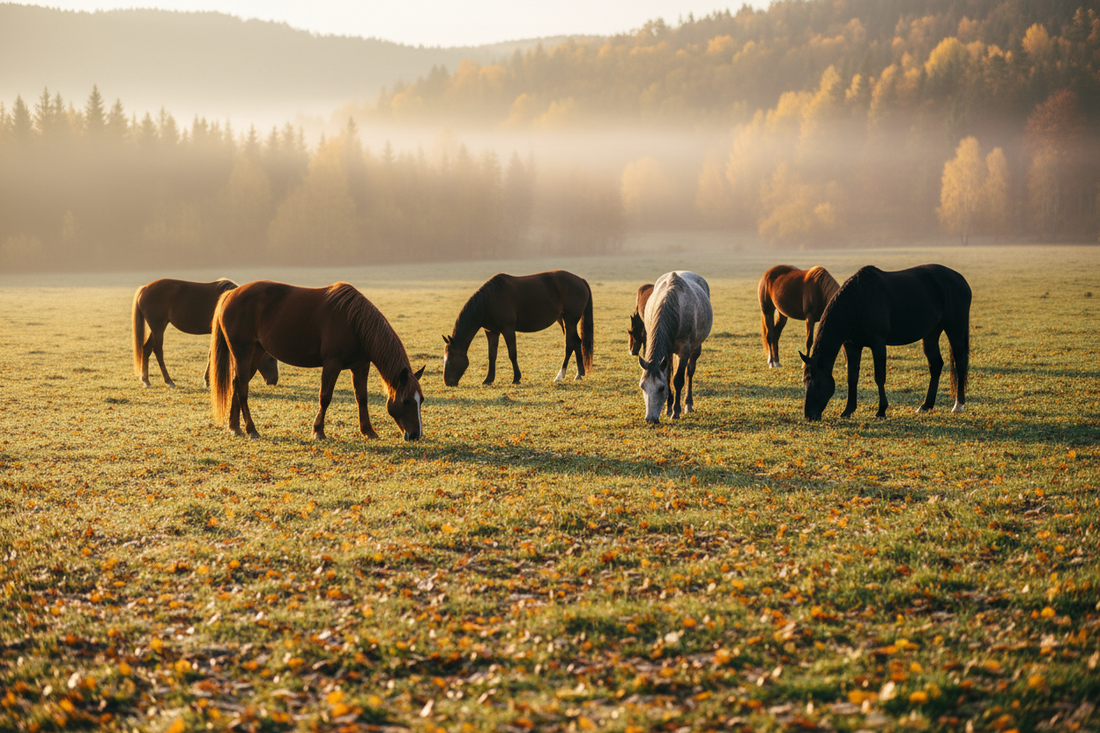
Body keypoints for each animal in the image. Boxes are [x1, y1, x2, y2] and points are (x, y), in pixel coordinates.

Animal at [132, 278, 279, 389]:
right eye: (271, 359)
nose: (274, 381)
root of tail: (144, 288)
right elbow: (212, 354)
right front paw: (208, 380)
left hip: (156, 328)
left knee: (146, 348)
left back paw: (146, 380)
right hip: (158, 327)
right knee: (158, 350)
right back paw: (169, 381)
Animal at [210, 281, 425, 441]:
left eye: (421, 400)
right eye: (406, 401)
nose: (416, 435)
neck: (354, 322)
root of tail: (231, 294)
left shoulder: (361, 366)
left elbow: (362, 398)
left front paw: (368, 431)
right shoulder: (332, 364)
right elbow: (325, 396)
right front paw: (318, 431)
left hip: (255, 353)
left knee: (237, 383)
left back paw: (235, 427)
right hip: (243, 353)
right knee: (242, 388)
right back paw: (251, 429)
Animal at [442, 271, 594, 386]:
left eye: (449, 360)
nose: (448, 383)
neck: (489, 301)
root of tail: (581, 280)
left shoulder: (508, 330)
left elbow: (512, 354)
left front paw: (516, 378)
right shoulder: (491, 332)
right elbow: (492, 355)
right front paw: (488, 380)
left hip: (569, 321)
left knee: (569, 345)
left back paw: (559, 377)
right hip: (563, 321)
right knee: (577, 342)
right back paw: (579, 374)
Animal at [638, 271, 712, 424]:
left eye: (661, 389)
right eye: (642, 386)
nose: (650, 419)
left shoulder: (684, 350)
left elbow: (677, 380)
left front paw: (676, 412)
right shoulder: (667, 353)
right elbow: (668, 376)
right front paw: (669, 409)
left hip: (696, 347)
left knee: (690, 371)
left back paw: (688, 405)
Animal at [801, 264, 971, 421]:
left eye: (818, 382)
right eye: (805, 381)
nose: (809, 416)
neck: (859, 302)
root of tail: (960, 279)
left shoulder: (878, 345)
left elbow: (879, 377)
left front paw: (881, 410)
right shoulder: (852, 346)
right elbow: (852, 377)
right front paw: (848, 410)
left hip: (955, 330)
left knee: (960, 363)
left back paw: (958, 405)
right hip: (931, 333)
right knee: (936, 364)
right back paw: (926, 405)